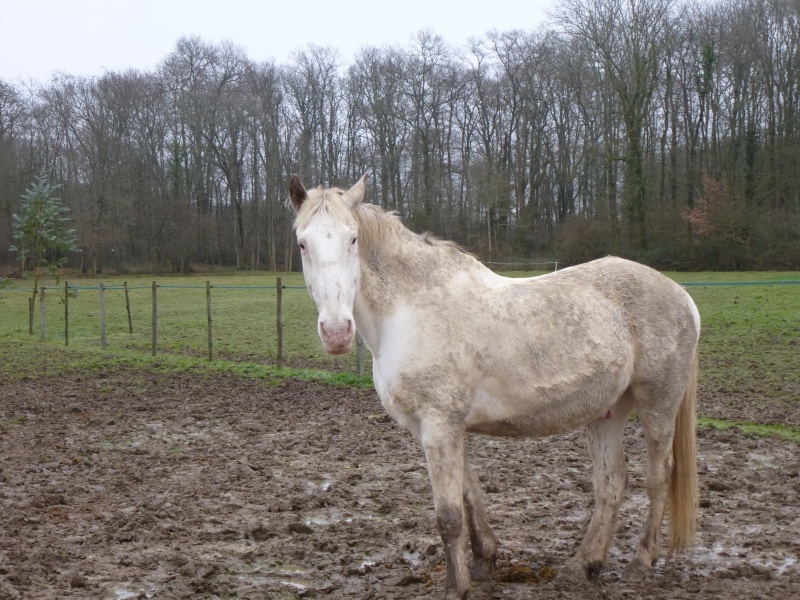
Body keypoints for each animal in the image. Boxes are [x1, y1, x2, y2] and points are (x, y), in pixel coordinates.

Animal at [290, 175, 700, 600]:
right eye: (302, 243)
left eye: (353, 239)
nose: (336, 332)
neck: (410, 308)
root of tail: (681, 295)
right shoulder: (440, 429)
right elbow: (470, 498)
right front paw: (483, 562)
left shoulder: (439, 425)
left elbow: (449, 515)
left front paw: (457, 587)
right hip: (608, 411)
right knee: (611, 483)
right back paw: (582, 566)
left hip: (658, 404)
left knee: (659, 477)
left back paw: (641, 561)